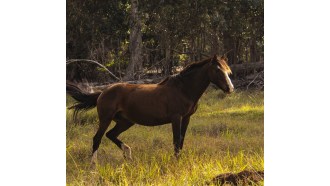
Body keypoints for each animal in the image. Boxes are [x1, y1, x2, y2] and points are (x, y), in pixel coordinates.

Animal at [65, 54, 233, 163]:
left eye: (228, 71)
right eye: (218, 70)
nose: (230, 88)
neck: (183, 89)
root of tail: (102, 92)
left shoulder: (186, 118)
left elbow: (181, 140)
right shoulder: (176, 118)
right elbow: (176, 141)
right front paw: (176, 162)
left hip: (126, 122)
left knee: (110, 135)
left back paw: (128, 154)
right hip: (106, 119)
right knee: (97, 138)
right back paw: (93, 165)